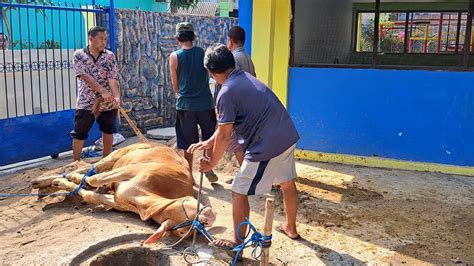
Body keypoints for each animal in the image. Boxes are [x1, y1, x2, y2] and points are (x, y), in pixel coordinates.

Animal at [32, 142, 218, 244]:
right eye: (190, 210)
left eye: (182, 232)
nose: (209, 217)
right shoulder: (131, 170)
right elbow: (93, 179)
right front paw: (68, 179)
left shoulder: (117, 200)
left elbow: (90, 194)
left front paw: (68, 185)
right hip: (117, 156)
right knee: (90, 169)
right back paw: (42, 183)